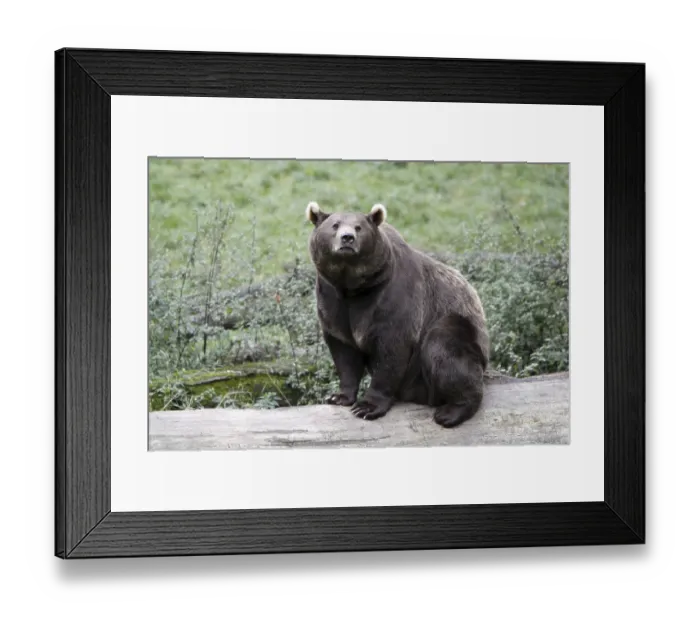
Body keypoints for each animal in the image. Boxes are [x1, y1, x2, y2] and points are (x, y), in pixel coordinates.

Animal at [305, 200, 490, 428]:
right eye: (335, 225)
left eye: (359, 227)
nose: (347, 238)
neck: (353, 287)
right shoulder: (333, 302)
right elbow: (344, 353)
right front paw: (338, 397)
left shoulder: (392, 301)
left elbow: (390, 353)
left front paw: (367, 407)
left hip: (456, 328)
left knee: (444, 349)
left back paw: (450, 412)